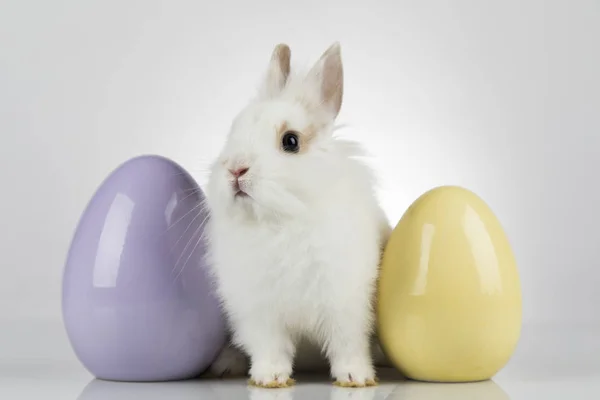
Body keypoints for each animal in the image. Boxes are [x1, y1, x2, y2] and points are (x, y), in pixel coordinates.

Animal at [205, 41, 394, 388]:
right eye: (232, 133)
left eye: (290, 141)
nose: (235, 169)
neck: (282, 221)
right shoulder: (259, 312)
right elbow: (270, 347)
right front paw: (269, 378)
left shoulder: (346, 303)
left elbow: (348, 343)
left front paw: (355, 377)